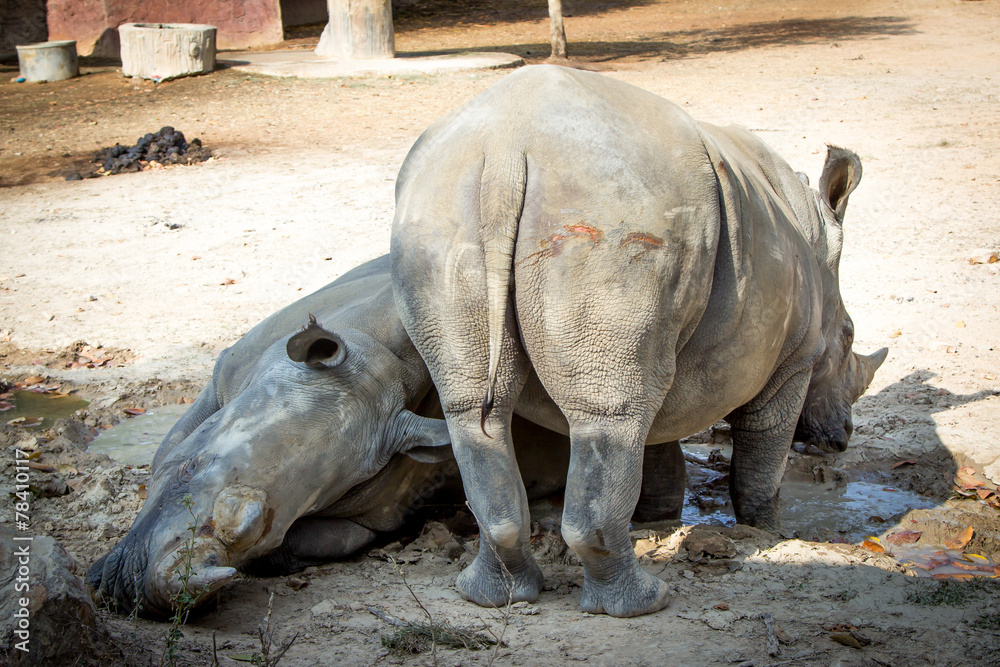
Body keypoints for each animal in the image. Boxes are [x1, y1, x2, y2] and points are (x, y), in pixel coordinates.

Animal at [391, 65, 887, 617]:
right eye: (849, 335)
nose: (841, 439)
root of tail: (505, 146)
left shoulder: (673, 345)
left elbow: (658, 440)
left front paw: (660, 516)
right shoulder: (795, 360)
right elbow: (763, 449)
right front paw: (769, 530)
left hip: (437, 212)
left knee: (478, 408)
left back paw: (493, 594)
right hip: (615, 211)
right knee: (613, 414)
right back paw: (642, 603)